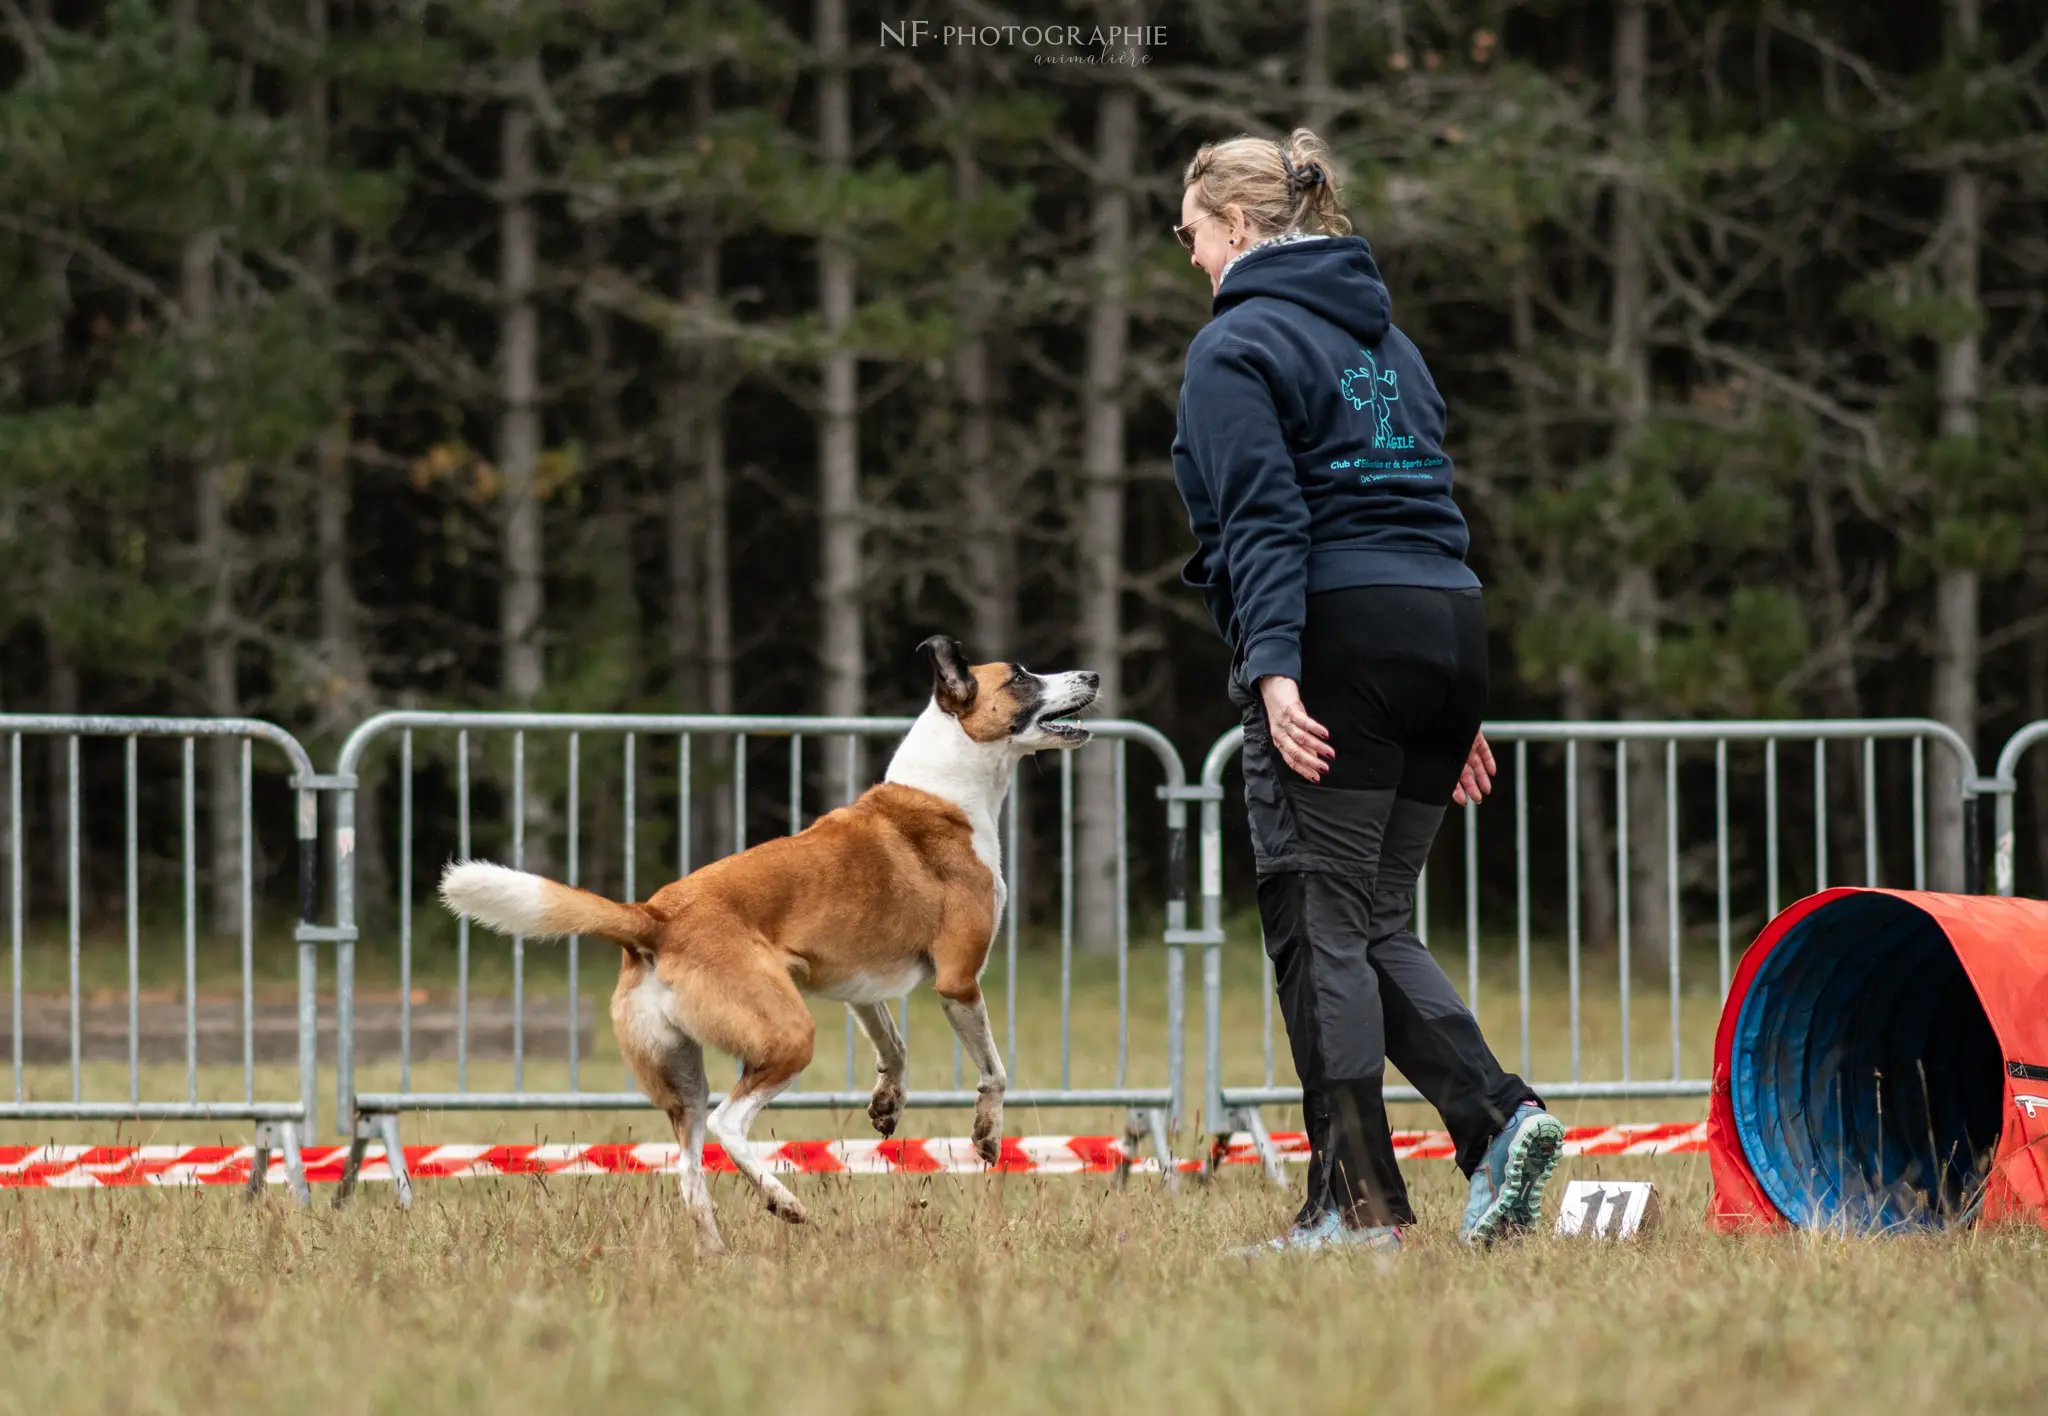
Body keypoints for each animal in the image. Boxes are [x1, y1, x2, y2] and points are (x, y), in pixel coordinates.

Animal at [438, 639, 1097, 1254]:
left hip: (682, 1080)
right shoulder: (958, 980)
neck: (945, 790)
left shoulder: (859, 991)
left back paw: (718, 1253)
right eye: (1020, 676)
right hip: (788, 1036)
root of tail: (654, 918)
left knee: (690, 1175)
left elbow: (896, 1046)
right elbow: (995, 1071)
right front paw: (987, 1134)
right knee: (729, 1125)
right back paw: (784, 1201)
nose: (1091, 676)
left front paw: (887, 1103)